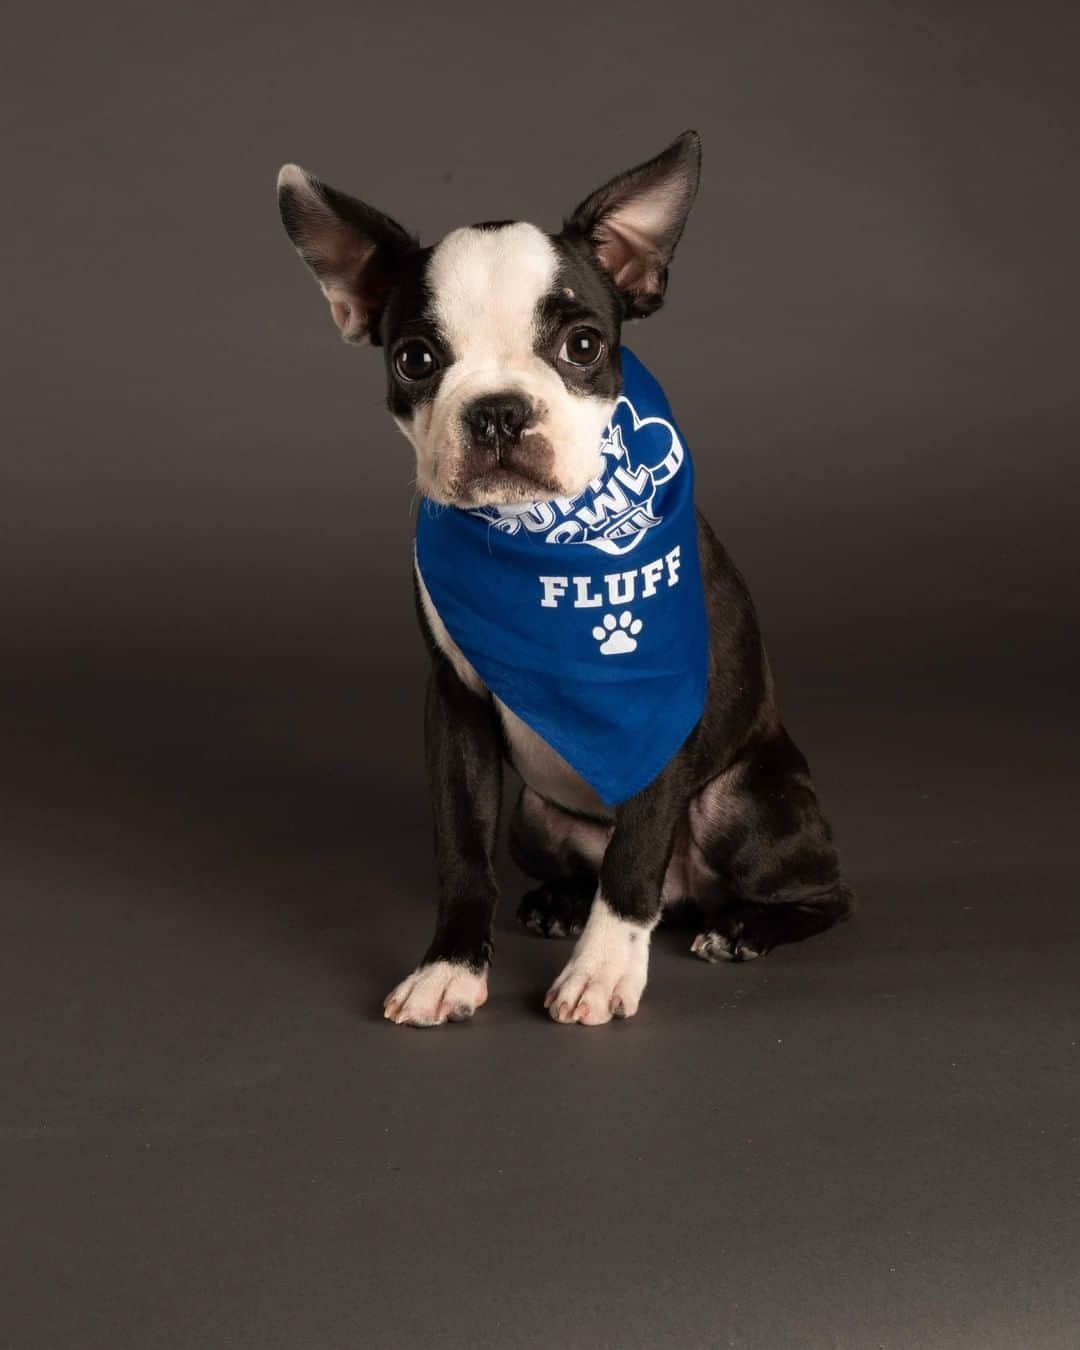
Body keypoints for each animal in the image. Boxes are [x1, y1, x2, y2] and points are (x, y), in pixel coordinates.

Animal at [276, 134, 853, 1020]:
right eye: (415, 359)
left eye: (582, 346)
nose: (498, 411)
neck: (545, 542)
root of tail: (689, 898)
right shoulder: (454, 708)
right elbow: (462, 852)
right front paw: (450, 967)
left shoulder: (655, 704)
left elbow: (634, 855)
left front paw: (605, 970)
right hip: (537, 818)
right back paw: (560, 904)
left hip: (745, 802)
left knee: (817, 893)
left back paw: (742, 928)